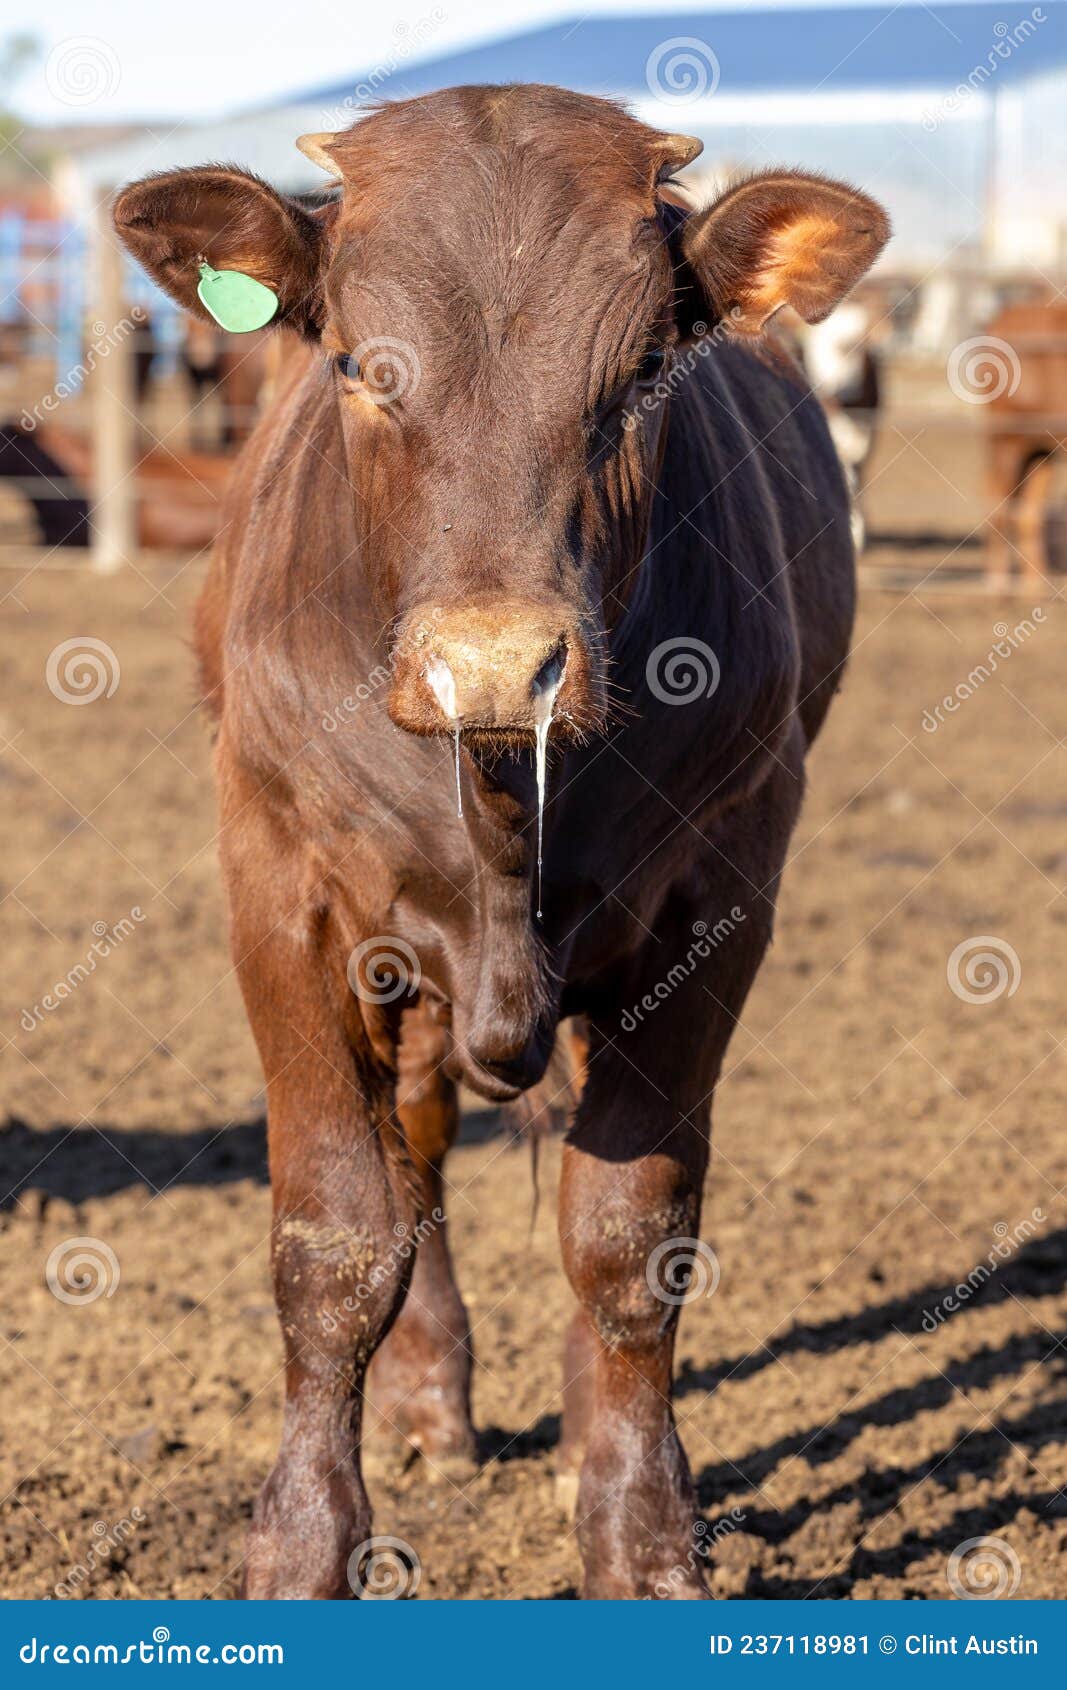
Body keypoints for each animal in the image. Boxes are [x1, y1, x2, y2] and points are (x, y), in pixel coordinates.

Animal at [112, 85, 886, 1602]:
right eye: (358, 362)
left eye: (641, 371)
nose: (490, 663)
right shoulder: (280, 890)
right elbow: (335, 1233)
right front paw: (303, 1541)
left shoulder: (717, 897)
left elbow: (628, 1229)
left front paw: (638, 1534)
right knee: (413, 1143)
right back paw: (425, 1406)